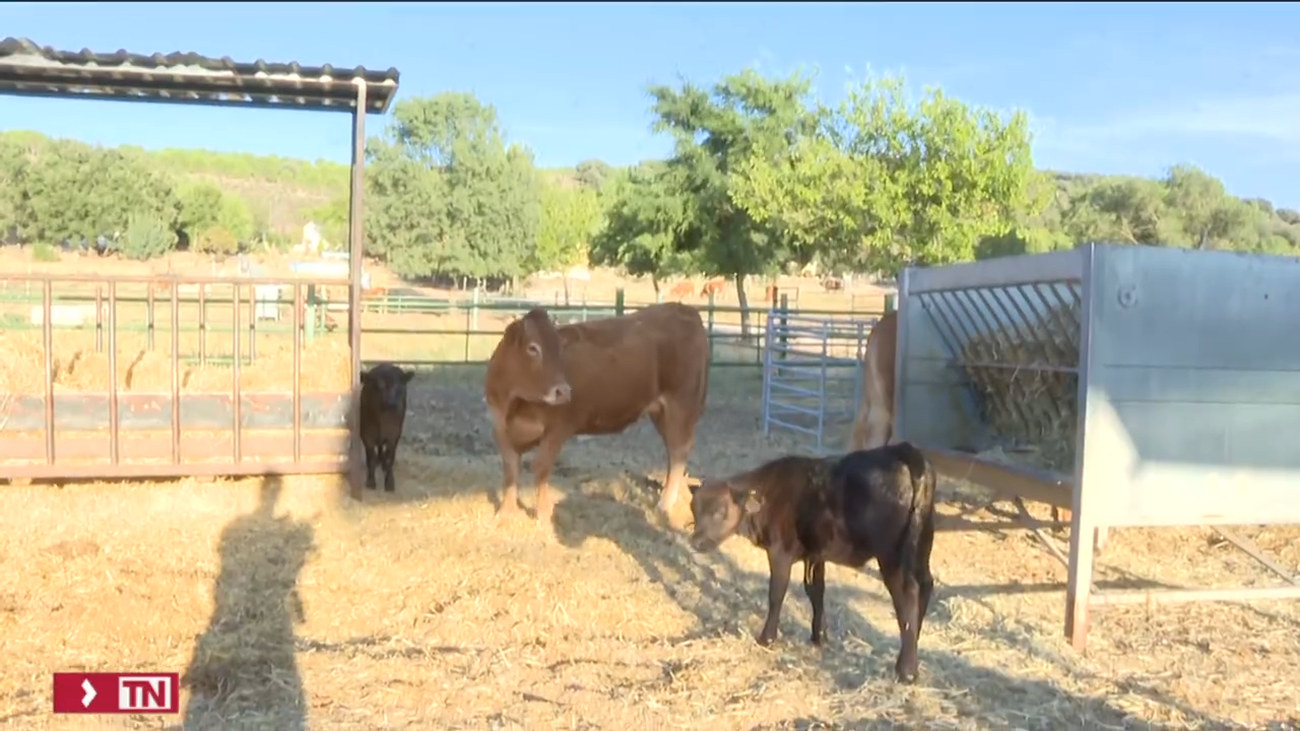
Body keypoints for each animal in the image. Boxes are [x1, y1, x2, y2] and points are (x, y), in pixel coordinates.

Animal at [358, 362, 415, 492]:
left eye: (400, 385)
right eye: (379, 385)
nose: (392, 404)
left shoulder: (394, 435)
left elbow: (390, 459)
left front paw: (389, 483)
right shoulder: (367, 435)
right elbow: (371, 458)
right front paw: (371, 481)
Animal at [484, 303, 710, 523]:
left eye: (560, 349)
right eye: (533, 348)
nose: (563, 391)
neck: (513, 401)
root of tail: (683, 309)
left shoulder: (558, 429)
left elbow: (541, 469)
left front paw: (543, 514)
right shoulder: (499, 428)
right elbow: (511, 470)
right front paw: (505, 511)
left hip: (680, 406)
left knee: (678, 451)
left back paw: (665, 503)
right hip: (661, 412)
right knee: (673, 453)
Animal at [685, 442, 938, 684]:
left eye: (719, 511)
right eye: (693, 509)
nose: (694, 541)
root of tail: (902, 449)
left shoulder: (780, 552)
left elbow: (777, 593)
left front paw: (767, 638)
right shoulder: (815, 554)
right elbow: (815, 590)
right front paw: (819, 636)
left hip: (892, 556)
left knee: (907, 594)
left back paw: (906, 670)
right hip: (921, 546)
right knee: (926, 584)